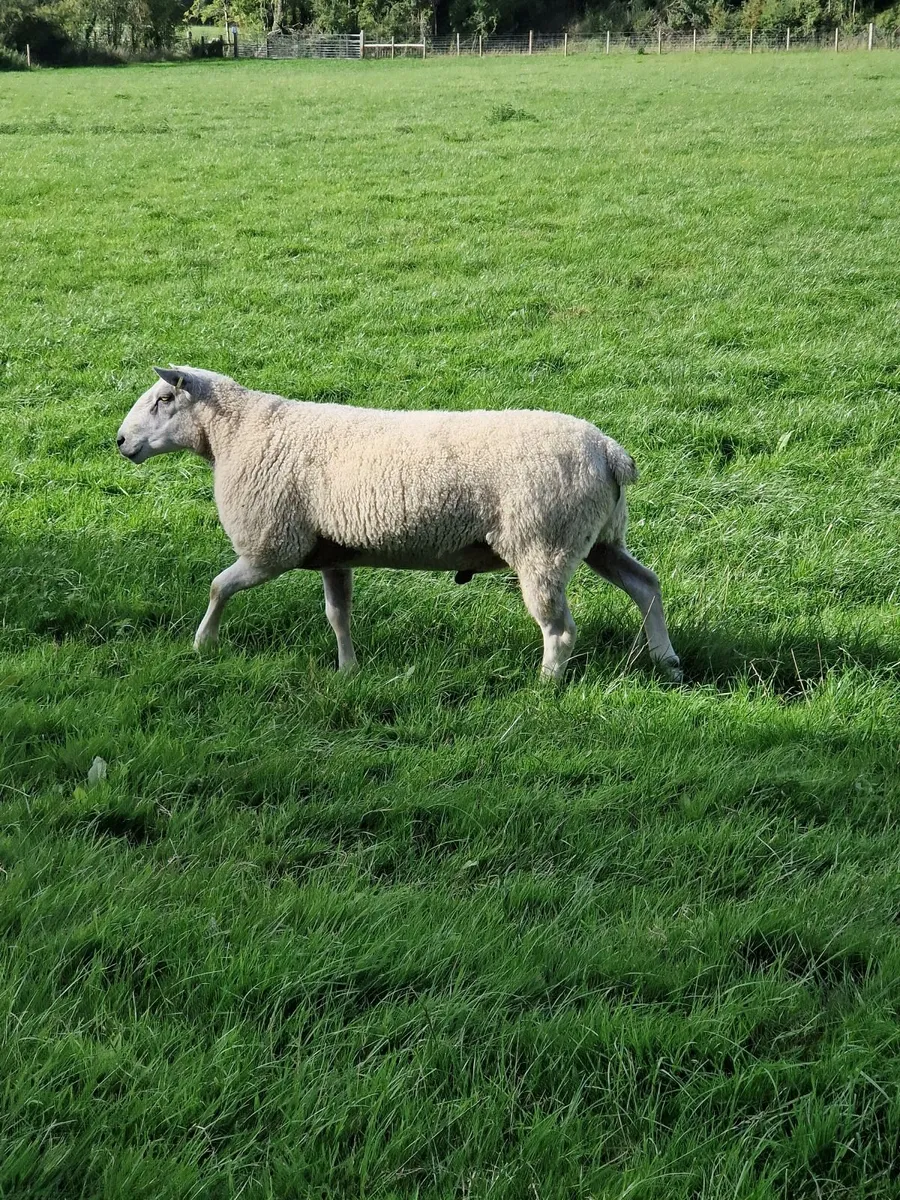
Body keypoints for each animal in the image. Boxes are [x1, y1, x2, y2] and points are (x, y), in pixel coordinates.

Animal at [116, 366, 681, 682]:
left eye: (164, 399)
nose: (120, 441)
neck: (238, 433)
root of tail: (609, 452)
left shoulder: (270, 548)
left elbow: (217, 588)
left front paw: (202, 644)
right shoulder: (332, 553)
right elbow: (337, 615)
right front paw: (348, 670)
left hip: (543, 544)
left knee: (560, 631)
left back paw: (545, 686)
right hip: (596, 538)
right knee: (646, 585)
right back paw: (666, 660)